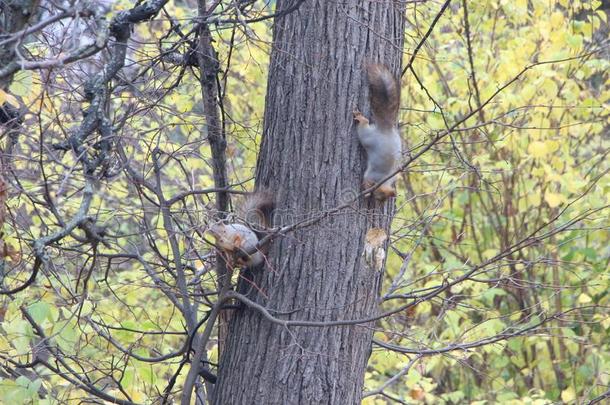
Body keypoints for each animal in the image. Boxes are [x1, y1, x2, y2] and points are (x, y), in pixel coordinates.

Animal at [352, 62, 400, 200]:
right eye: (380, 196)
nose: (379, 202)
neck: (383, 182)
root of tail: (386, 129)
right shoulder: (371, 176)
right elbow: (367, 182)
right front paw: (367, 192)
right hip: (368, 136)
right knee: (364, 125)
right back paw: (361, 118)